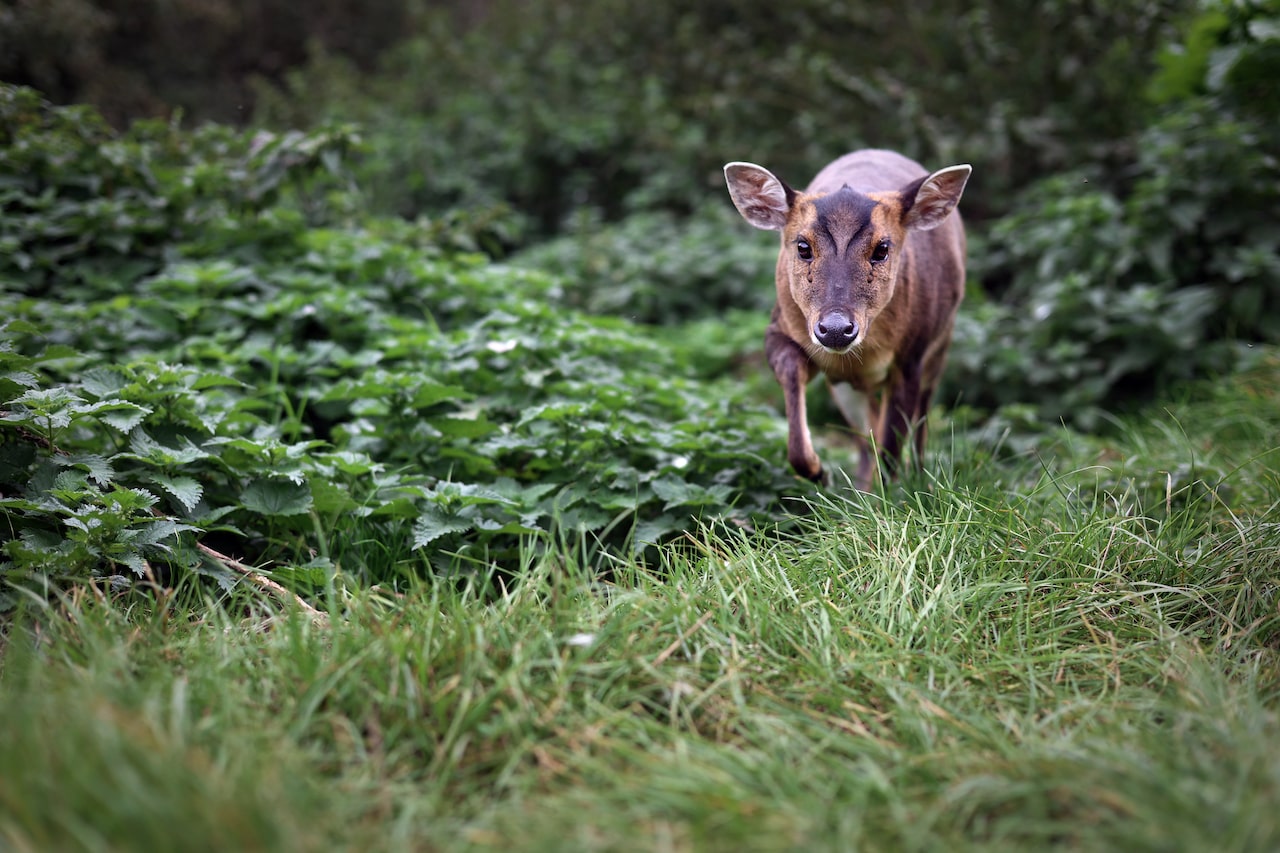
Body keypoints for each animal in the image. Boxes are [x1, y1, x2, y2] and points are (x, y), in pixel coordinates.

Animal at [724, 149, 971, 491]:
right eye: (803, 246)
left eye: (882, 248)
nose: (836, 329)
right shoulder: (778, 328)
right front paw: (818, 471)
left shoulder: (912, 354)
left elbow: (892, 448)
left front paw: (884, 500)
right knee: (866, 432)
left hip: (941, 340)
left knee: (919, 419)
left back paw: (920, 481)